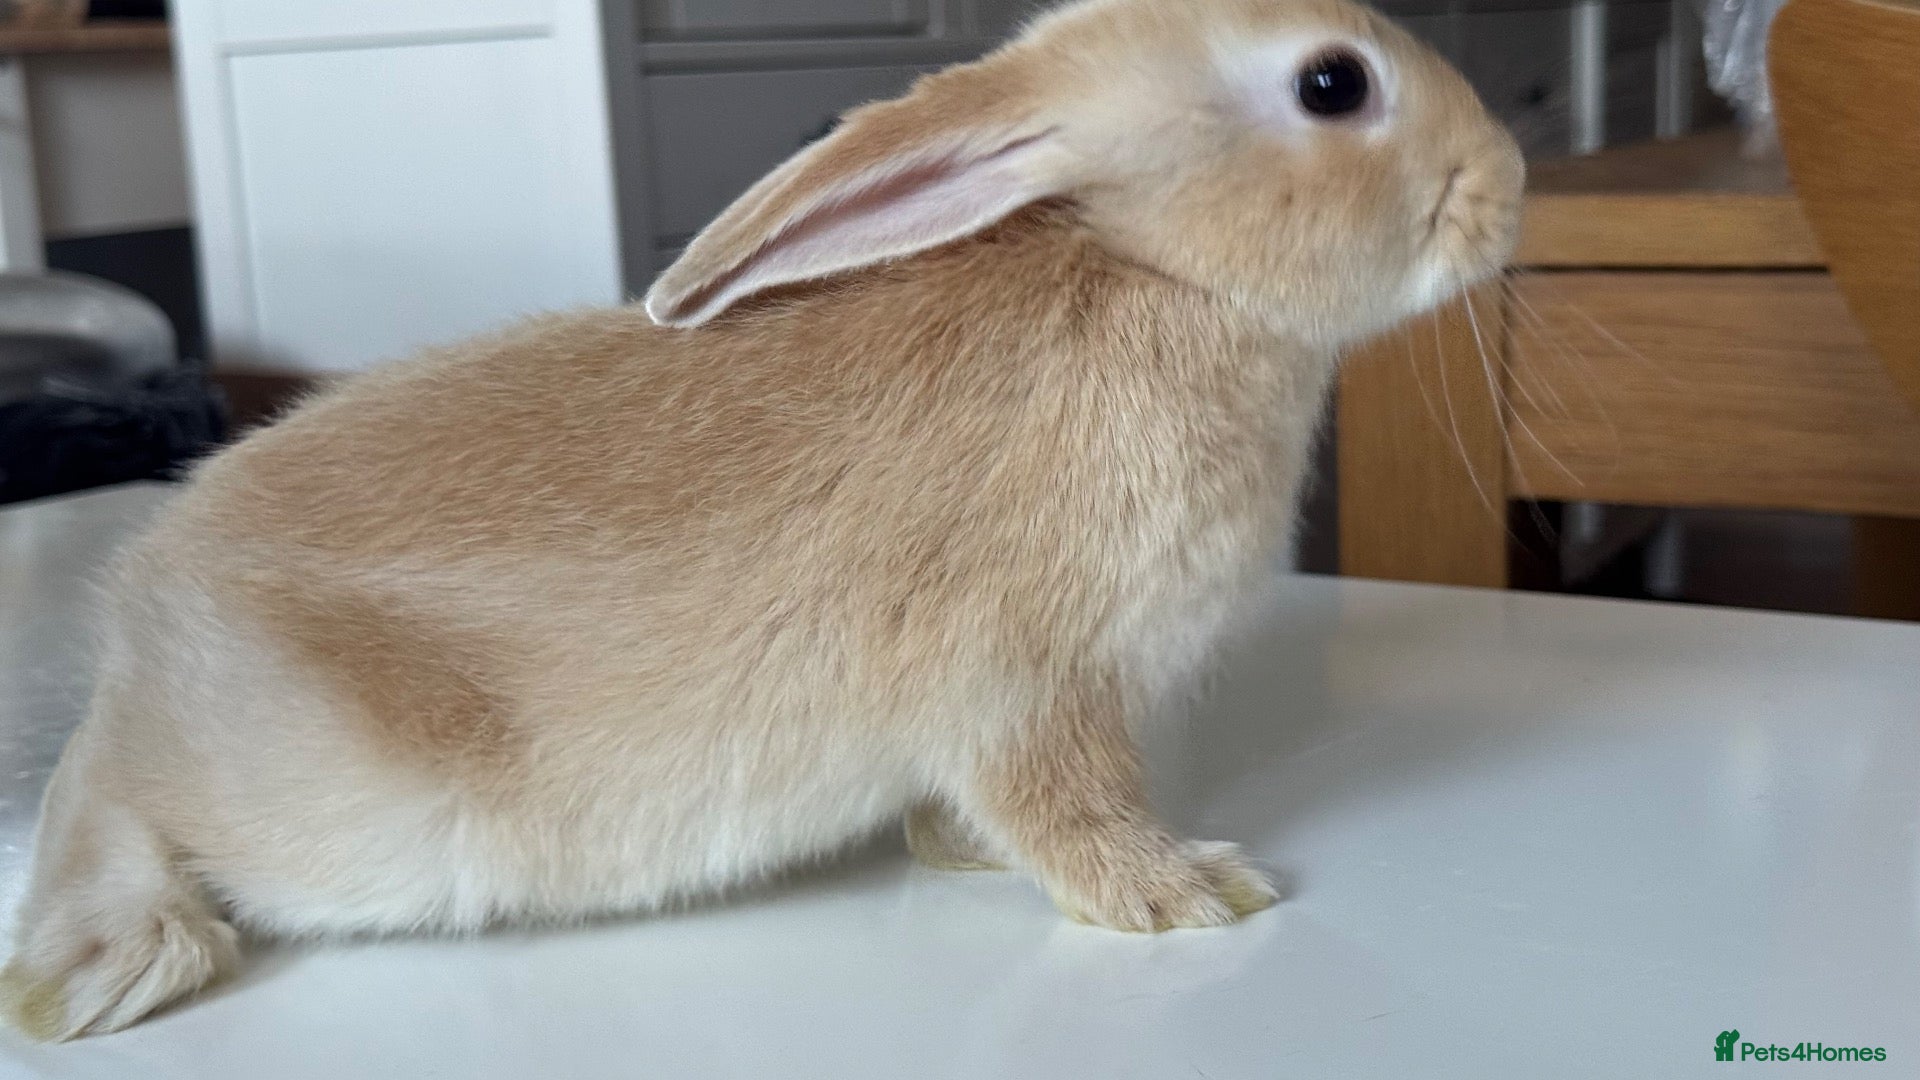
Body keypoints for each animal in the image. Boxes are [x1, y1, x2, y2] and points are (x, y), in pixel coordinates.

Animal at [1, 0, 1521, 1040]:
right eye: (1333, 83)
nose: (1510, 182)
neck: (1159, 273)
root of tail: (146, 595)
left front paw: (966, 852)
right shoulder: (1025, 683)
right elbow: (1062, 802)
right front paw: (1185, 891)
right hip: (325, 798)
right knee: (102, 789)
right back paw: (108, 966)